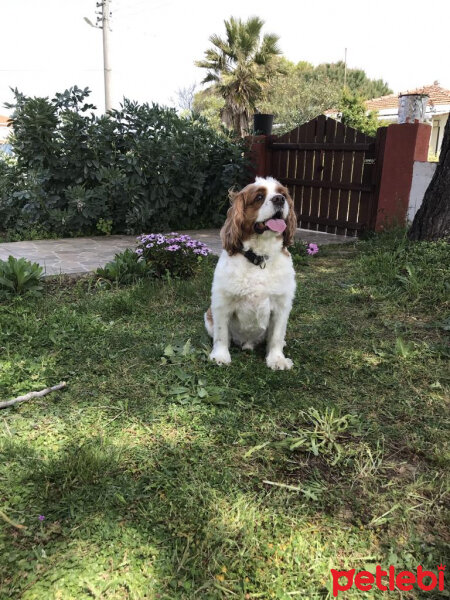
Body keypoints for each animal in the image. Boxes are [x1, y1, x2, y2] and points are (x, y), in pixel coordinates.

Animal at [205, 176, 298, 368]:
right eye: (259, 197)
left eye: (283, 194)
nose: (279, 199)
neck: (259, 259)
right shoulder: (222, 303)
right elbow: (221, 334)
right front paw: (220, 356)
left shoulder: (281, 307)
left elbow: (276, 336)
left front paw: (277, 359)